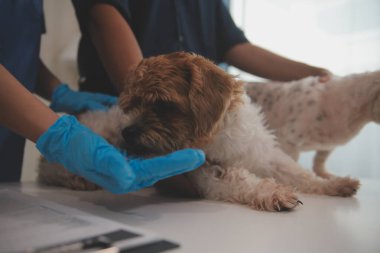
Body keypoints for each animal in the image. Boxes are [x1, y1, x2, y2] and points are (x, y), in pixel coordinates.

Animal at [37, 51, 360, 211]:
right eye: (132, 103)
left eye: (162, 103)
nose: (126, 132)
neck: (219, 136)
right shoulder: (205, 173)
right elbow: (240, 179)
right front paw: (273, 192)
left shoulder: (266, 156)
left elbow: (300, 174)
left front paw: (334, 183)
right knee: (50, 167)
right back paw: (77, 177)